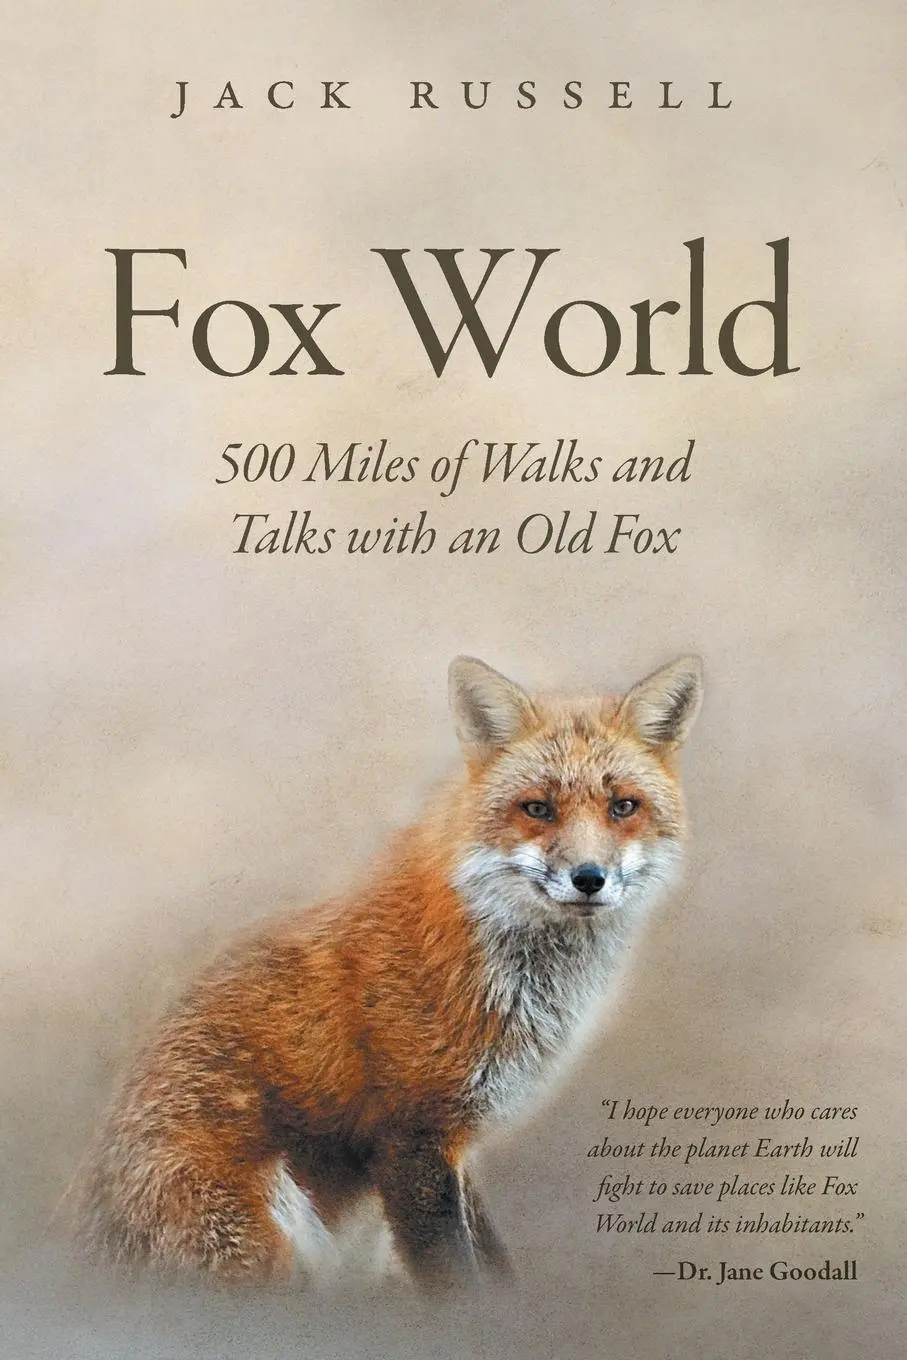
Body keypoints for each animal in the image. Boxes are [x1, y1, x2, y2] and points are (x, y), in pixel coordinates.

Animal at [70, 653, 703, 1288]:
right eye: (537, 808)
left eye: (623, 807)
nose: (590, 878)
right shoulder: (411, 1135)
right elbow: (456, 1278)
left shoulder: (456, 1145)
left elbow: (492, 1264)